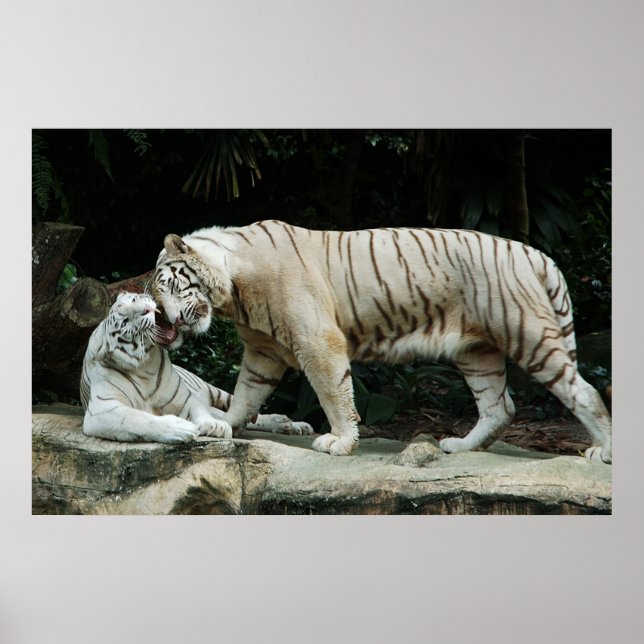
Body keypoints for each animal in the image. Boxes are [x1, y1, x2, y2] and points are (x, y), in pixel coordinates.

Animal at [80, 291, 313, 443]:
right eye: (125, 322)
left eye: (136, 299)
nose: (147, 309)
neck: (145, 367)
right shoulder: (102, 410)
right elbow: (137, 418)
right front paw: (178, 427)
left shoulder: (185, 398)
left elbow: (200, 410)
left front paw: (215, 427)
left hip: (212, 389)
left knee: (242, 407)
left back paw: (291, 424)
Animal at [151, 219, 612, 463]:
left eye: (170, 286)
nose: (169, 323)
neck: (234, 291)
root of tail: (535, 253)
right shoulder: (263, 352)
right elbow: (246, 393)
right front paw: (223, 425)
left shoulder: (318, 342)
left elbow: (333, 394)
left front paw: (339, 441)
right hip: (476, 352)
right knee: (500, 407)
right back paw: (459, 445)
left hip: (528, 334)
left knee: (584, 391)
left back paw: (603, 451)